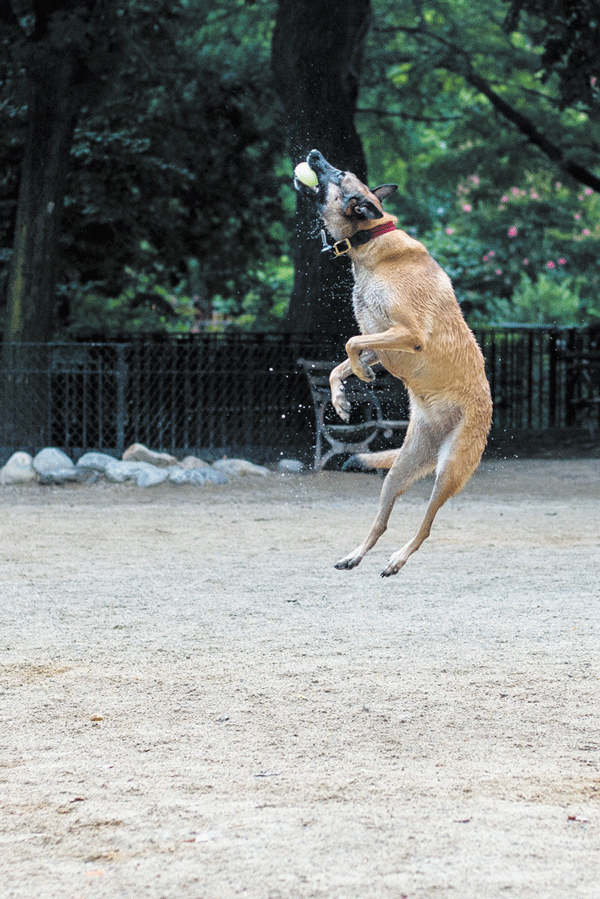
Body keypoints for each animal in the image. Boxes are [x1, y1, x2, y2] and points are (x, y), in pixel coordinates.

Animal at [294, 148, 492, 576]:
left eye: (339, 173)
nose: (314, 154)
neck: (370, 240)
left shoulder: (409, 335)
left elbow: (351, 342)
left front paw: (360, 376)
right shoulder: (381, 339)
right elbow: (341, 361)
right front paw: (342, 399)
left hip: (449, 471)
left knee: (426, 525)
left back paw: (397, 560)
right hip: (399, 471)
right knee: (381, 521)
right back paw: (355, 556)